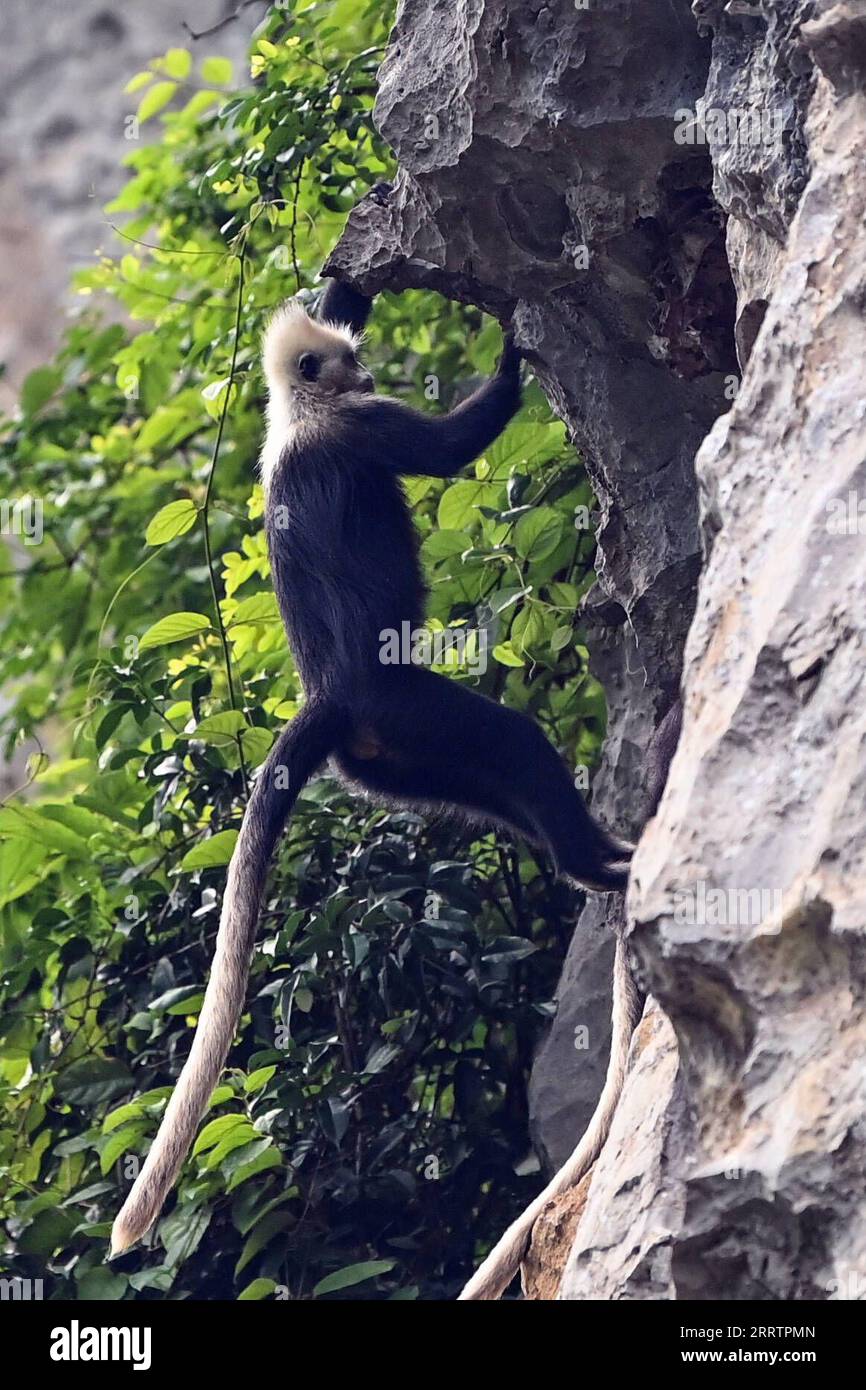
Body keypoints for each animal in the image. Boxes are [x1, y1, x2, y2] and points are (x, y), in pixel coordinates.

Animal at [111, 279, 633, 1262]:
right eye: (347, 363)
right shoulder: (361, 426)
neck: (299, 414)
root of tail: (331, 698)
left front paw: (350, 278)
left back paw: (591, 862)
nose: (362, 363)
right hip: (410, 710)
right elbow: (449, 447)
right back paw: (597, 862)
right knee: (515, 744)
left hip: (386, 759)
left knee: (495, 786)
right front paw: (514, 345)